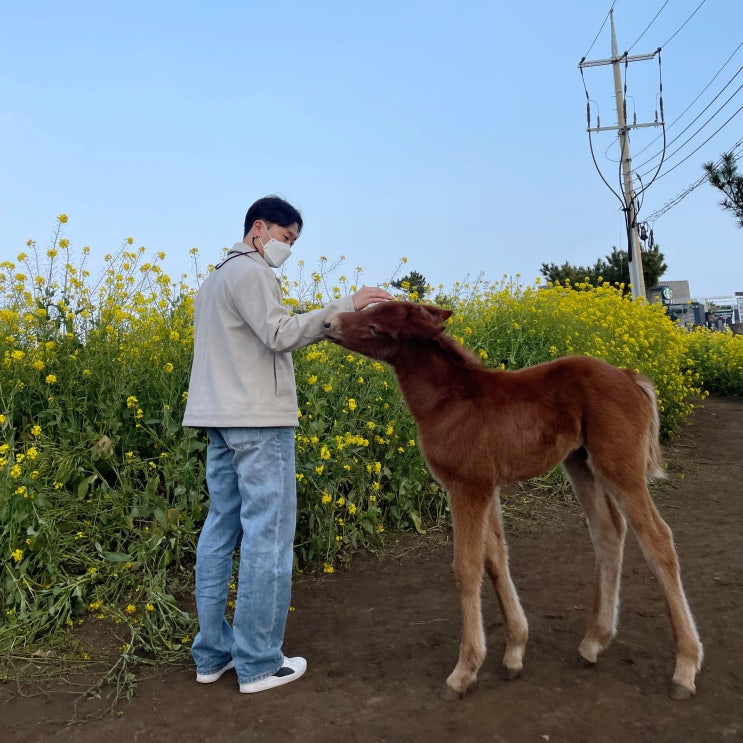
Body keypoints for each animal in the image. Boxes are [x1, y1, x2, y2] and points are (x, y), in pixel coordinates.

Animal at [326, 300, 704, 700]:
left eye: (376, 327)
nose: (329, 323)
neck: (448, 401)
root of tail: (631, 376)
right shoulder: (486, 486)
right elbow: (495, 558)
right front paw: (514, 650)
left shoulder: (467, 486)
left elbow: (467, 567)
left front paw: (464, 671)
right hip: (580, 462)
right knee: (609, 531)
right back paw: (593, 642)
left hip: (619, 467)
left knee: (658, 539)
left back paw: (685, 668)